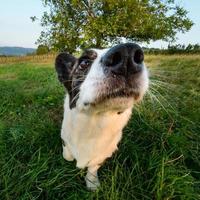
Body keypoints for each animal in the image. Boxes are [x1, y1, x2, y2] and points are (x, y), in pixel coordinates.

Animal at [54, 43, 148, 190]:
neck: (96, 122)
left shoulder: (103, 154)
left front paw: (92, 183)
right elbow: (67, 155)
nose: (127, 54)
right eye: (84, 63)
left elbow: (93, 167)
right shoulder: (65, 140)